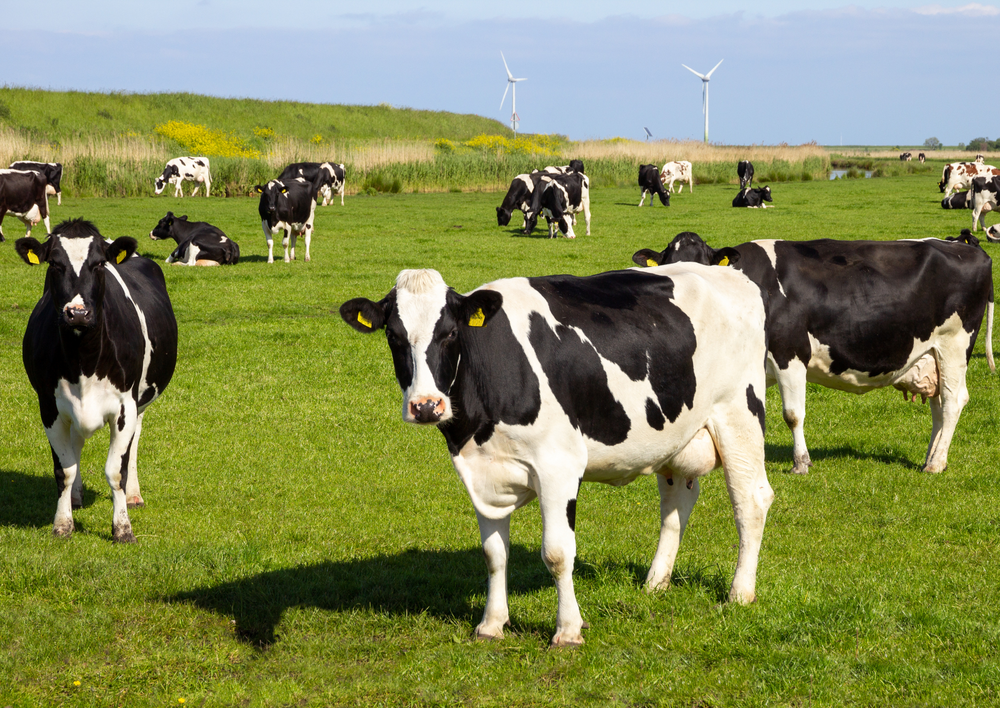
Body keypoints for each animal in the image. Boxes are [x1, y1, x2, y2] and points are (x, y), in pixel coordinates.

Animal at [15, 219, 177, 543]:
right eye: (55, 264)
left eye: (99, 264)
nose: (77, 313)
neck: (84, 361)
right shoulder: (49, 407)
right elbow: (64, 469)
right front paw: (63, 524)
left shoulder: (125, 407)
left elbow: (116, 471)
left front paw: (123, 529)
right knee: (75, 445)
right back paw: (76, 497)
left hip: (140, 402)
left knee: (135, 443)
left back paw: (133, 495)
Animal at [339, 265, 772, 645]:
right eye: (393, 336)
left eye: (450, 333)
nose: (427, 406)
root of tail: (729, 273)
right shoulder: (481, 471)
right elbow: (494, 553)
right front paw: (491, 624)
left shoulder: (558, 467)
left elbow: (558, 553)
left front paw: (568, 630)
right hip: (675, 435)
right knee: (677, 502)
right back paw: (655, 582)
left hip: (739, 414)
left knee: (751, 500)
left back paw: (740, 592)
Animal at [633, 232, 995, 475]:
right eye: (666, 266)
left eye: (702, 267)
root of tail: (965, 246)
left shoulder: (790, 352)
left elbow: (793, 414)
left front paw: (800, 463)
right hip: (931, 353)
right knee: (938, 405)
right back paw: (932, 457)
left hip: (955, 343)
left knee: (953, 400)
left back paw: (935, 463)